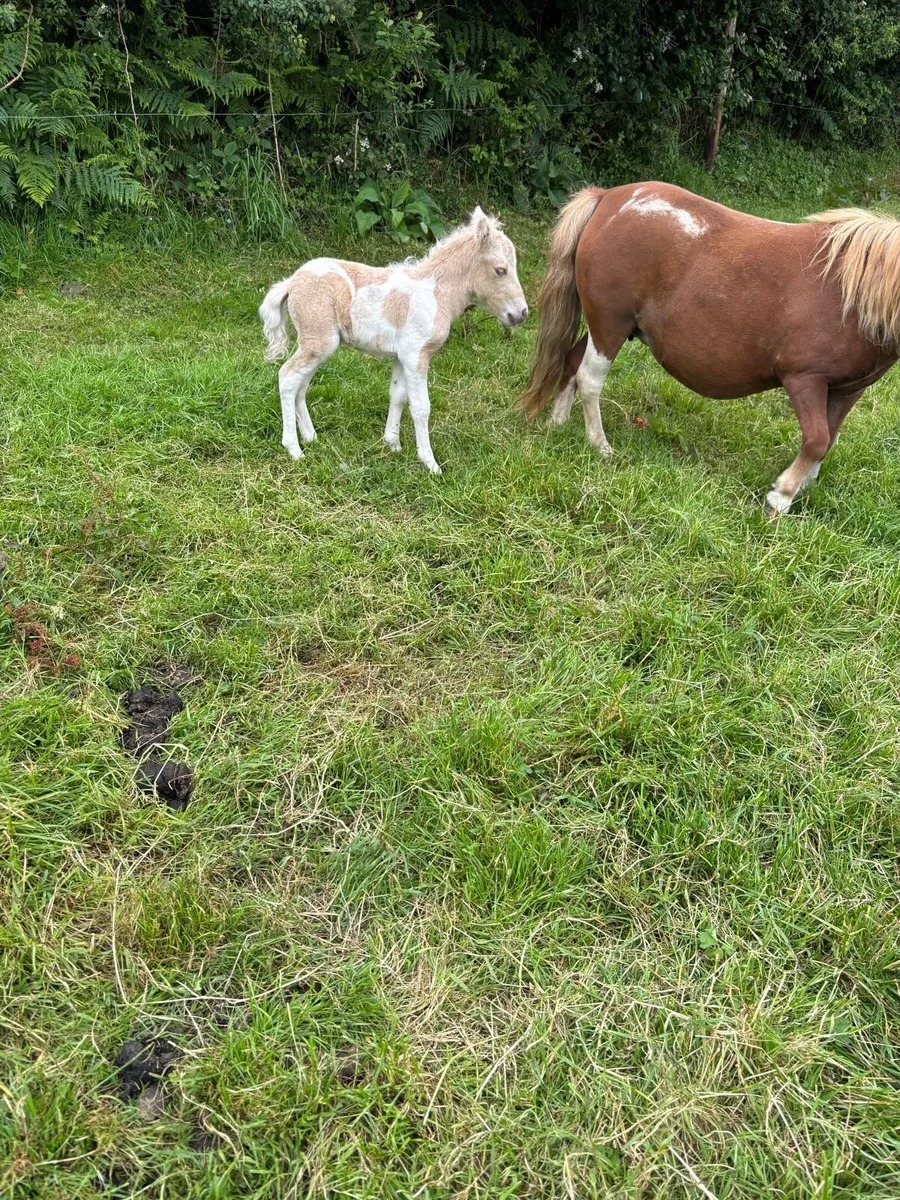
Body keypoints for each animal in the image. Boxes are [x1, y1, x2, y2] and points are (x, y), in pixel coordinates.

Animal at [259, 207, 528, 475]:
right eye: (500, 270)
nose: (521, 313)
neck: (434, 293)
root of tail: (291, 282)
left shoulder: (402, 356)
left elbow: (398, 395)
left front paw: (392, 444)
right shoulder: (416, 355)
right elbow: (421, 407)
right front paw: (430, 463)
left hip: (314, 345)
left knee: (300, 384)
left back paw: (311, 437)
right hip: (319, 342)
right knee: (288, 377)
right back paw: (294, 449)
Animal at [518, 183, 900, 513]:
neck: (853, 293)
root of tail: (609, 198)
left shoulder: (847, 390)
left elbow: (828, 440)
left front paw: (802, 485)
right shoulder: (805, 379)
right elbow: (817, 440)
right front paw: (781, 496)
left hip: (610, 327)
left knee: (571, 363)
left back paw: (557, 423)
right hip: (610, 325)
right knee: (590, 380)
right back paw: (600, 445)